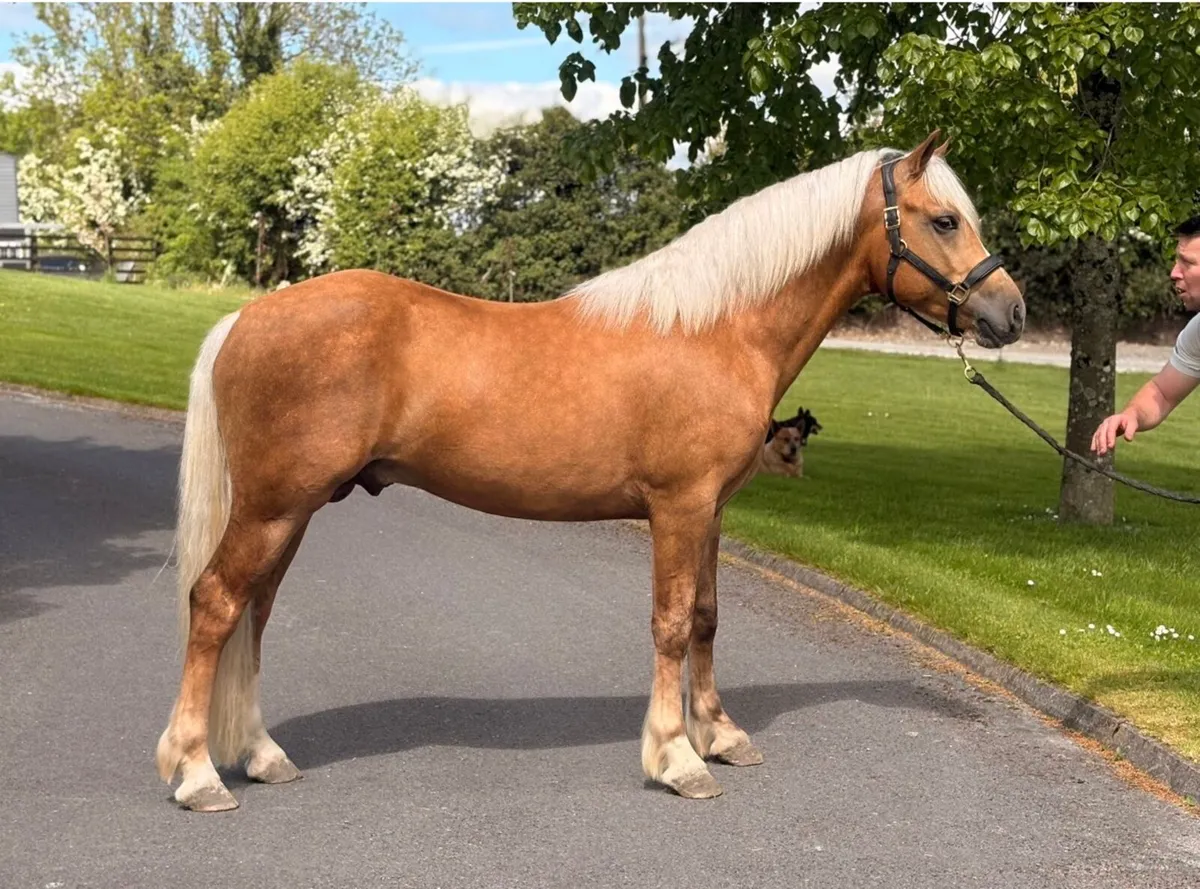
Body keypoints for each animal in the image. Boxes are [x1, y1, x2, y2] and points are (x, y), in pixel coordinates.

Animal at [156, 131, 1024, 811]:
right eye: (944, 219)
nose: (1010, 314)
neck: (717, 328)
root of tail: (246, 317)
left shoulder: (712, 510)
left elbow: (706, 618)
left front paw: (721, 733)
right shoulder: (678, 507)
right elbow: (670, 623)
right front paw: (677, 758)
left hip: (292, 511)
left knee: (255, 613)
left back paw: (261, 754)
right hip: (273, 506)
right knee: (217, 603)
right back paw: (197, 772)